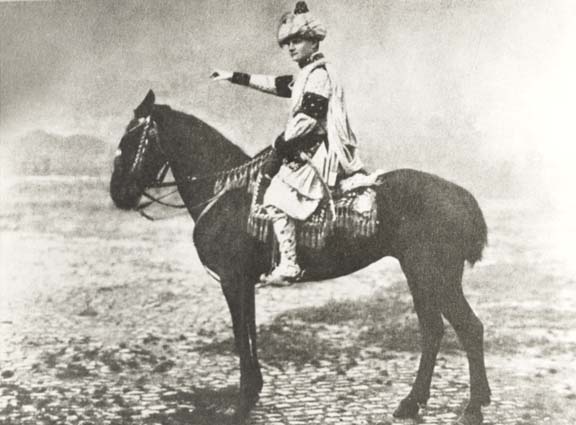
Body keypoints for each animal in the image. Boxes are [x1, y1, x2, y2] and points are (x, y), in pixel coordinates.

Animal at [110, 90, 491, 425]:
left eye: (130, 143)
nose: (119, 194)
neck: (225, 194)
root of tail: (461, 195)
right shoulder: (245, 283)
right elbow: (250, 332)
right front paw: (254, 392)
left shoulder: (233, 281)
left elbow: (240, 336)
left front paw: (242, 403)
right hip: (421, 276)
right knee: (434, 331)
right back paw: (414, 403)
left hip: (432, 275)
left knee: (468, 328)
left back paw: (472, 407)